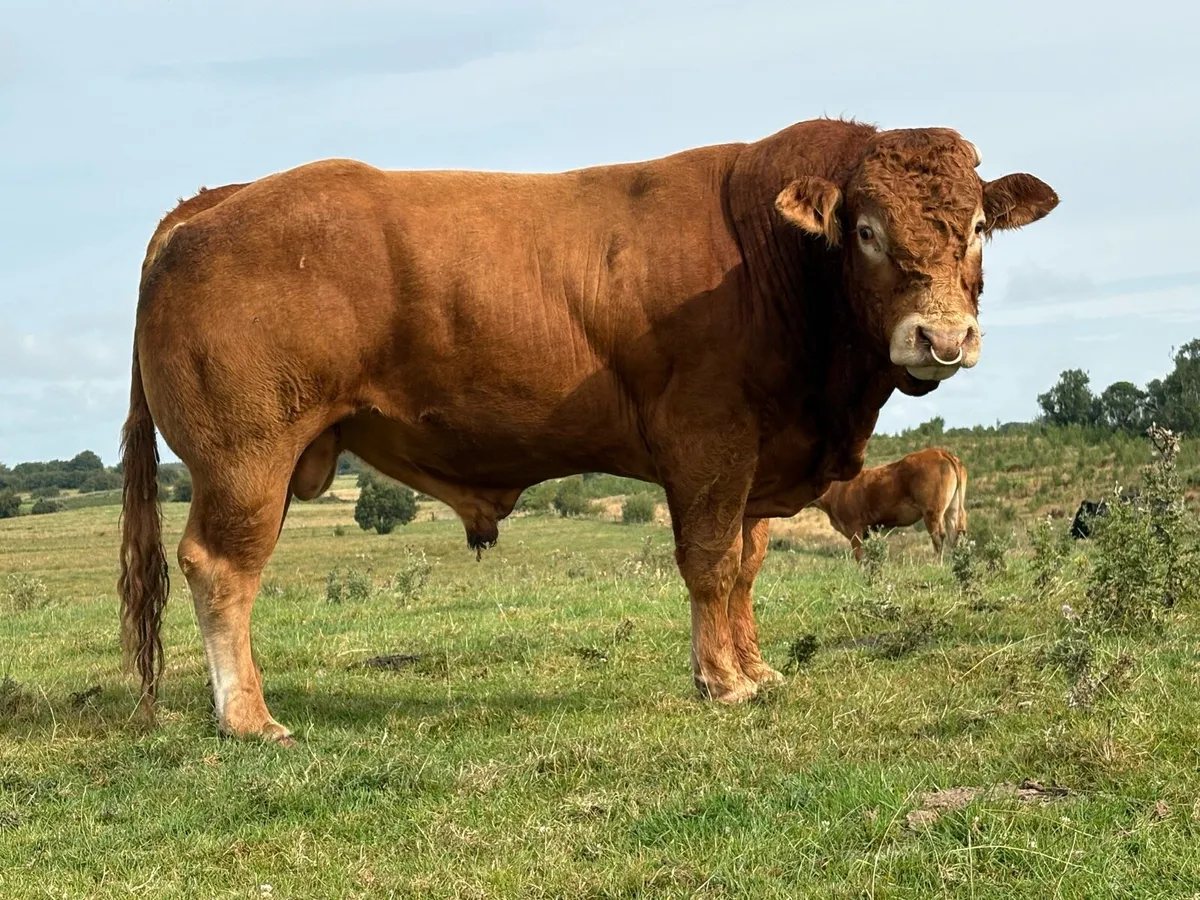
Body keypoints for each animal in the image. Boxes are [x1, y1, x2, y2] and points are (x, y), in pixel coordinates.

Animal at [811, 448, 968, 560]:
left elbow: (860, 556)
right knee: (956, 534)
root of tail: (940, 452)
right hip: (953, 508)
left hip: (932, 512)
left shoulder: (854, 527)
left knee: (939, 537)